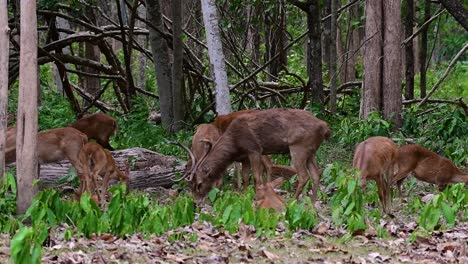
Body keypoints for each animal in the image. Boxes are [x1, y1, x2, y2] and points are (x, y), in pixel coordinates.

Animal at [178, 108, 330, 203]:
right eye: (190, 185)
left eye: (199, 184)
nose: (196, 202)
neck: (235, 144)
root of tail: (325, 127)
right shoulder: (245, 157)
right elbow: (246, 177)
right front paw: (244, 195)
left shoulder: (254, 149)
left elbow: (257, 177)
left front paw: (257, 198)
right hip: (310, 151)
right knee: (316, 174)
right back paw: (312, 202)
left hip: (299, 147)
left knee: (304, 175)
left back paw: (292, 200)